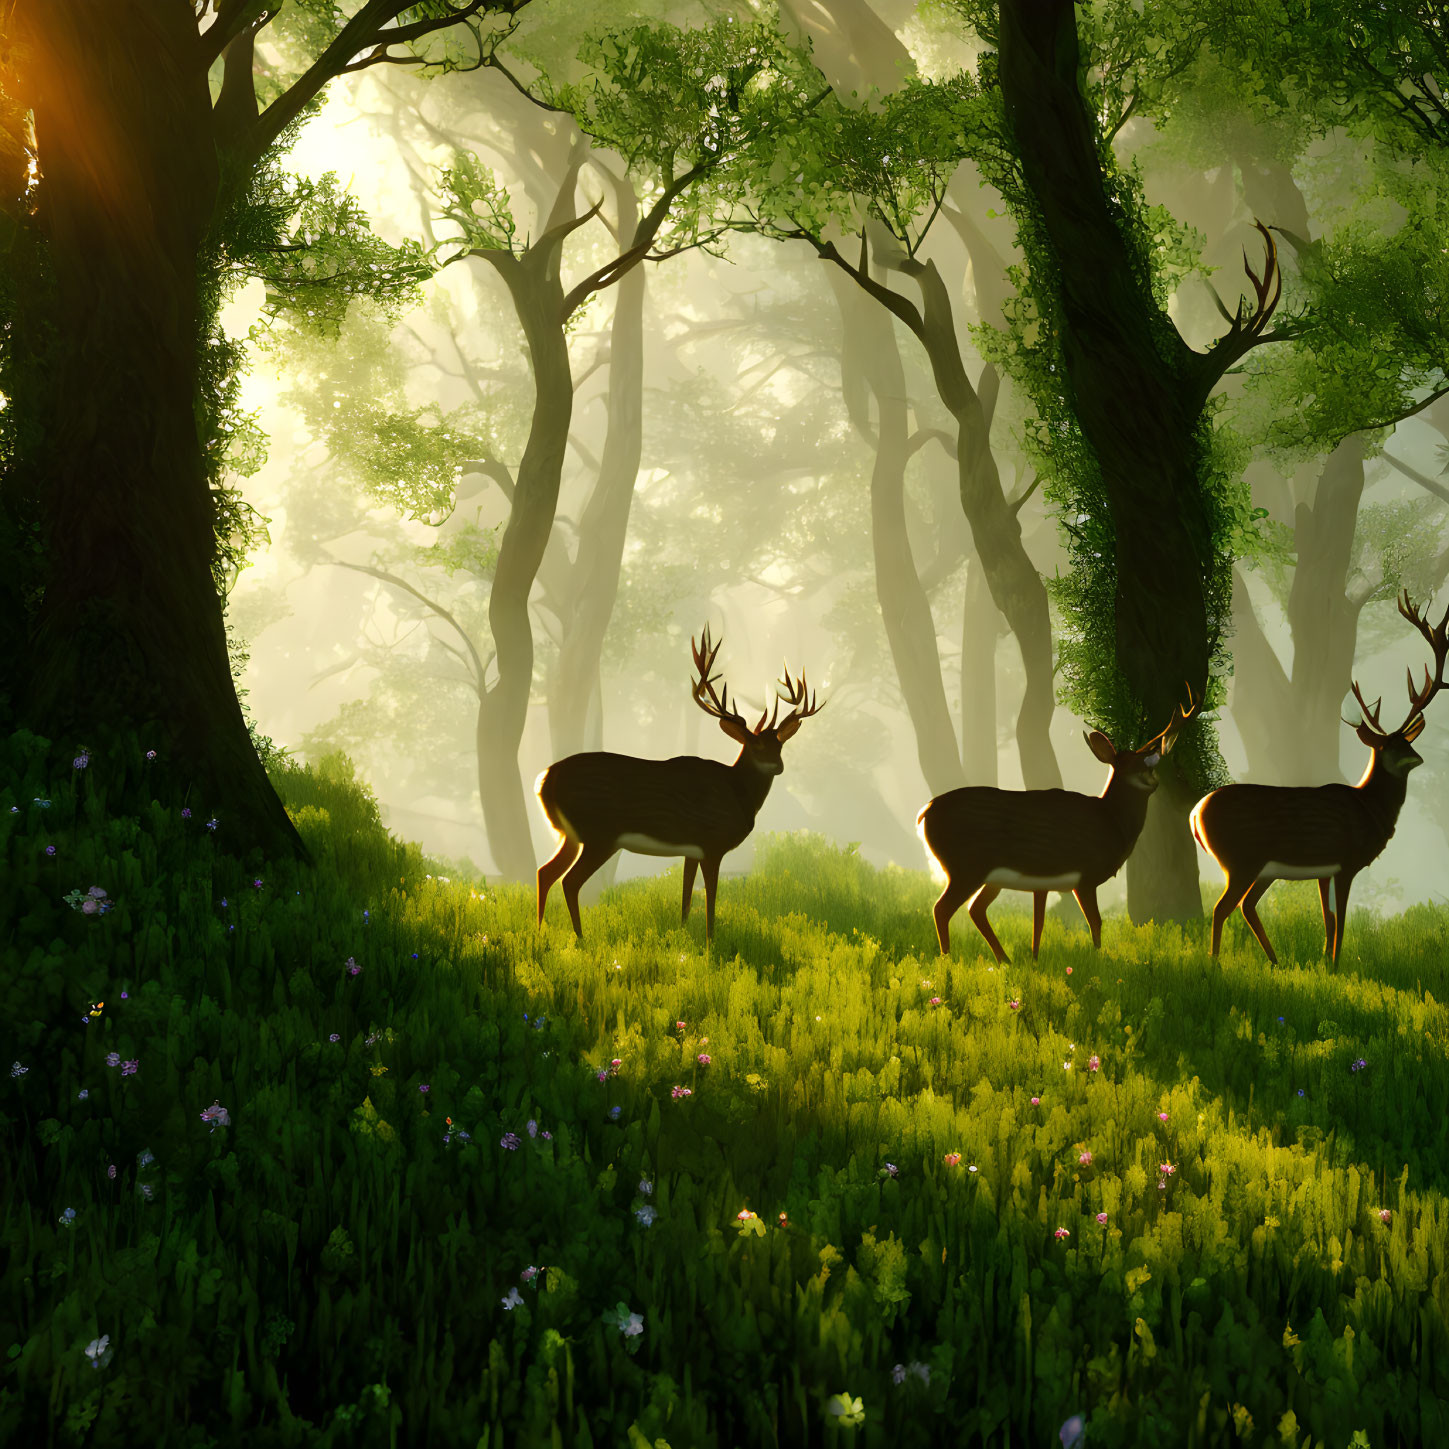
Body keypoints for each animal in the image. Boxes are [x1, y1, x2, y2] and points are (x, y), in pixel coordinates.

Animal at [536, 625, 828, 944]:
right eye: (755, 745)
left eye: (780, 745)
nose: (778, 766)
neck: (737, 793)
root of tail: (545, 779)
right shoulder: (713, 843)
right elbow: (710, 899)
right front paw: (711, 941)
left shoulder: (692, 850)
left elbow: (687, 898)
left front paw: (684, 935)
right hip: (599, 833)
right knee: (569, 881)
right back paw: (580, 939)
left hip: (571, 834)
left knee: (545, 872)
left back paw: (539, 933)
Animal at [915, 686, 1199, 962]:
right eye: (1130, 765)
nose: (1153, 780)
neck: (1112, 822)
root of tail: (924, 812)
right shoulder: (1085, 875)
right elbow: (1095, 921)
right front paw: (1097, 957)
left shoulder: (1045, 882)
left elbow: (1039, 924)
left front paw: (1035, 958)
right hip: (965, 866)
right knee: (942, 908)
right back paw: (949, 959)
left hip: (985, 874)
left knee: (975, 909)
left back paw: (1004, 960)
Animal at [1188, 588, 1449, 962]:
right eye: (1387, 746)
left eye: (1407, 741)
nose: (1418, 757)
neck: (1370, 809)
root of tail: (1195, 814)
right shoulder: (1346, 860)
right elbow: (1341, 922)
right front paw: (1337, 964)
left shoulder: (1324, 871)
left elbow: (1328, 921)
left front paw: (1325, 963)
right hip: (1240, 859)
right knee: (1223, 907)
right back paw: (1217, 964)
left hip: (1261, 868)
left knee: (1246, 906)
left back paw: (1275, 961)